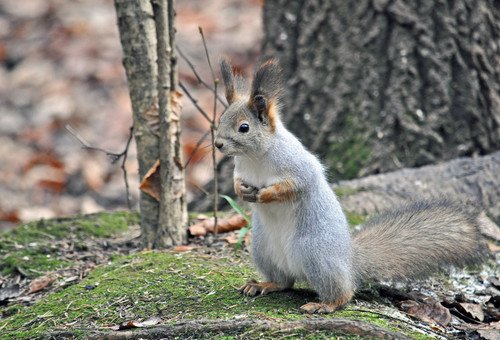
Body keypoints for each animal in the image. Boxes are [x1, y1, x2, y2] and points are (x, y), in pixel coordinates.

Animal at [215, 57, 484, 314]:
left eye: (244, 127)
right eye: (220, 119)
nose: (217, 144)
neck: (255, 158)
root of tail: (349, 262)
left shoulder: (299, 167)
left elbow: (295, 186)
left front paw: (266, 195)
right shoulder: (242, 170)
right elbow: (237, 181)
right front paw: (241, 190)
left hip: (315, 254)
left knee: (344, 293)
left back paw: (325, 304)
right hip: (263, 249)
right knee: (285, 282)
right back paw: (264, 284)